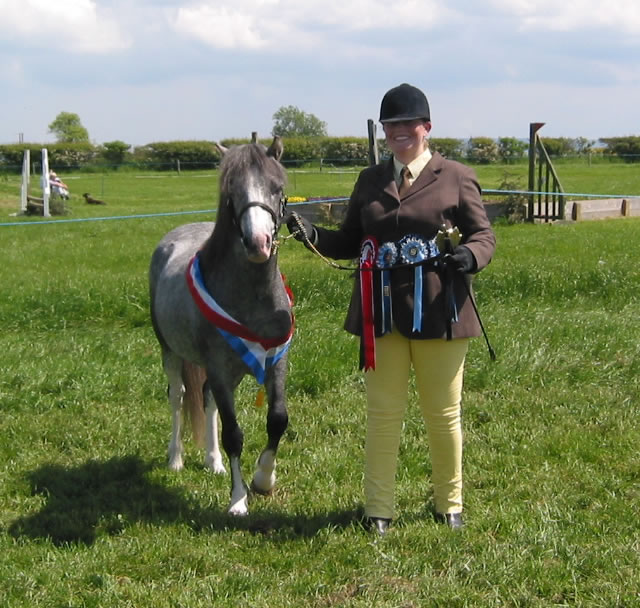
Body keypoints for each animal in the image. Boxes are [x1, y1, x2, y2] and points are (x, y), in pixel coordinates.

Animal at [149, 144, 292, 516]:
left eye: (277, 187)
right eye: (232, 193)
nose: (258, 243)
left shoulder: (275, 361)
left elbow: (277, 420)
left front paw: (263, 480)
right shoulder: (217, 366)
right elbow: (234, 435)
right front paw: (238, 499)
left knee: (207, 400)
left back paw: (213, 461)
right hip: (171, 352)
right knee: (179, 396)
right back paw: (175, 459)